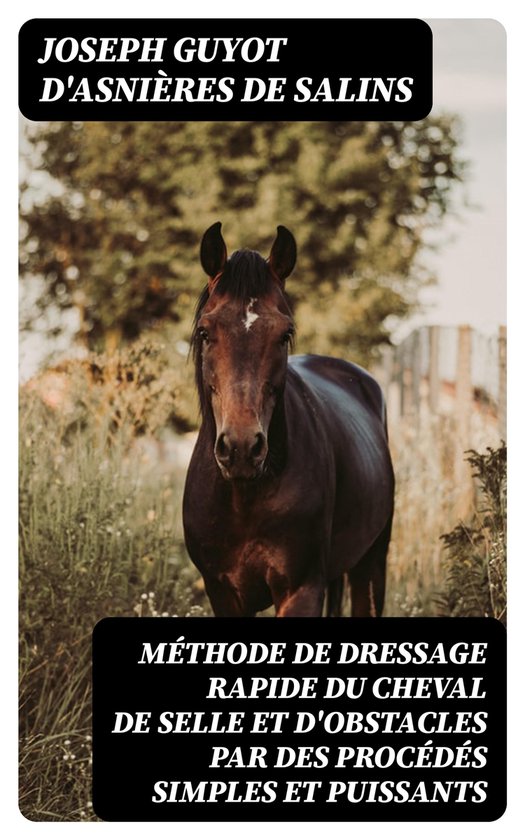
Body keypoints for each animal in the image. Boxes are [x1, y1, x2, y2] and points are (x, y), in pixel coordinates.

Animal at [182, 222, 395, 617]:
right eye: (205, 332)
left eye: (285, 335)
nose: (241, 448)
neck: (244, 497)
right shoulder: (223, 592)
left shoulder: (302, 589)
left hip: (371, 564)